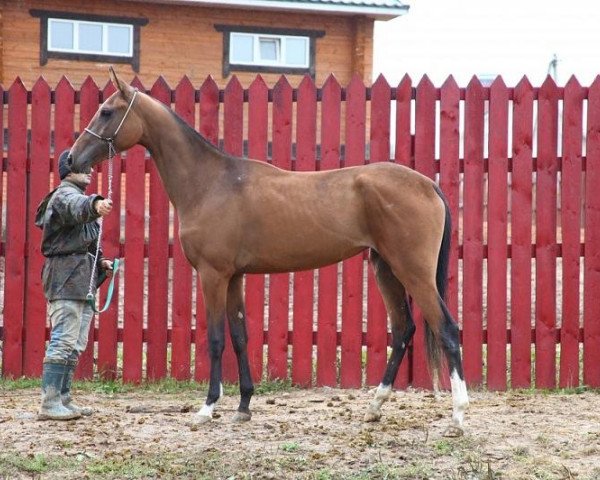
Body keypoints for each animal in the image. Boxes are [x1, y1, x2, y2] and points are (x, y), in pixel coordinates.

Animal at [67, 66, 468, 432]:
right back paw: (374, 407)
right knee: (403, 329)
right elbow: (240, 337)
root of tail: (428, 185)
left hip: (413, 271)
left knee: (447, 329)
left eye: (107, 111)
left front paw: (207, 408)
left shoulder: (213, 275)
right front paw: (244, 405)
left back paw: (458, 416)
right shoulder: (234, 278)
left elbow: (216, 340)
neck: (211, 183)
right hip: (386, 268)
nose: (71, 159)